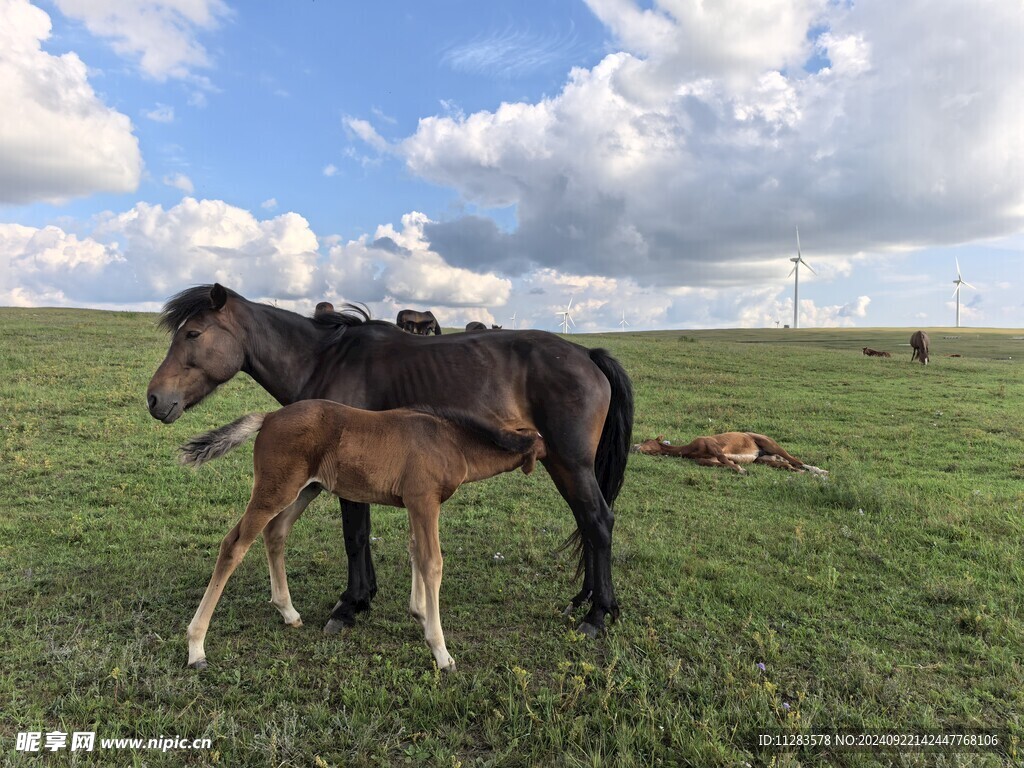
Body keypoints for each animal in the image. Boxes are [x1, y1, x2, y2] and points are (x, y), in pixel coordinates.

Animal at [145, 284, 630, 638]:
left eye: (192, 334)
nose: (154, 399)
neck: (324, 359)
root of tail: (587, 355)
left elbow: (355, 537)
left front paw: (351, 604)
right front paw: (363, 598)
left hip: (571, 463)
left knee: (598, 522)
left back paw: (598, 615)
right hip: (564, 466)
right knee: (588, 524)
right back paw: (584, 600)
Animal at [178, 399, 544, 671]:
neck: (450, 439)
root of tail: (268, 417)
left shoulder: (414, 504)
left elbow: (415, 550)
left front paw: (420, 615)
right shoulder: (424, 500)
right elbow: (432, 562)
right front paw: (441, 652)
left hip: (305, 490)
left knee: (275, 533)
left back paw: (288, 612)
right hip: (275, 490)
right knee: (234, 544)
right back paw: (196, 647)